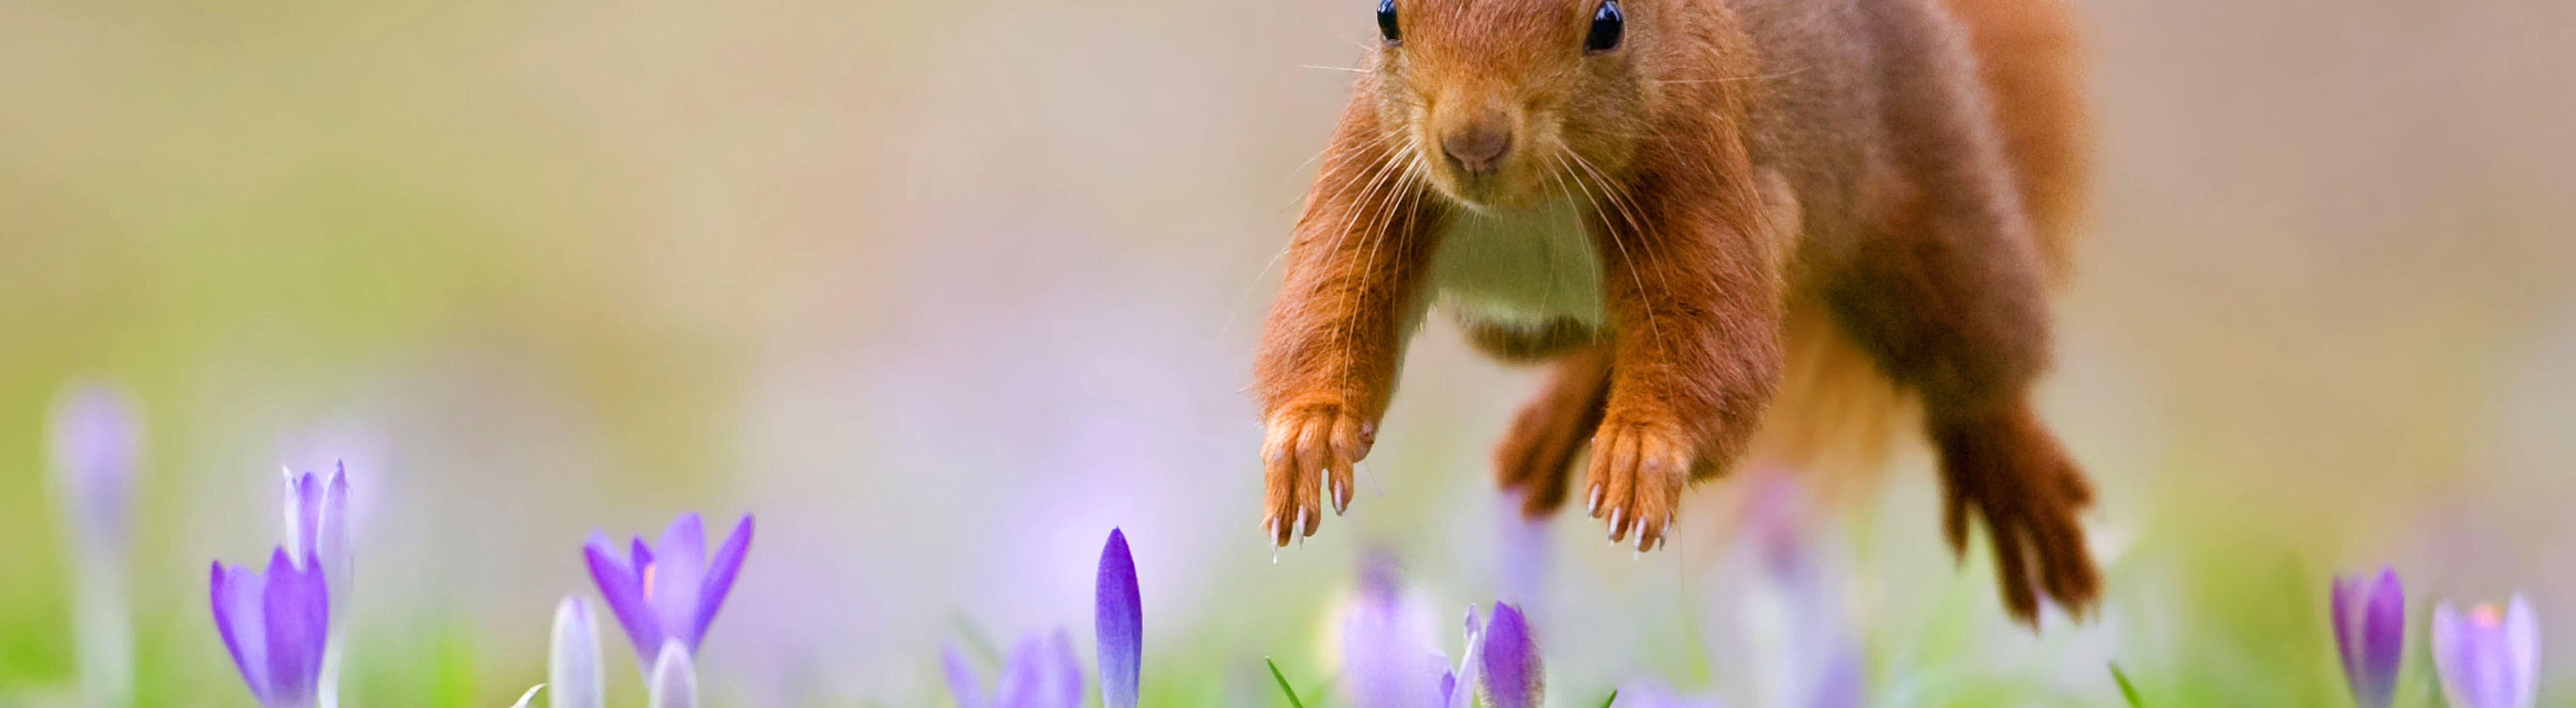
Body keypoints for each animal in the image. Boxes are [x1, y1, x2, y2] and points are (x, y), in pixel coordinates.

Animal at [1252, 0, 2099, 623]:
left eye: (1607, 22)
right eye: (1386, 14)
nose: (1472, 144)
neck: (1533, 206)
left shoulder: (1703, 176)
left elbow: (1715, 346)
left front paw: (1641, 450)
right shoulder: (1376, 173)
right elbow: (1330, 299)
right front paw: (1309, 434)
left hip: (1934, 203)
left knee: (1974, 349)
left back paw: (2018, 487)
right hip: (1510, 326)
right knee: (1599, 344)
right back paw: (1553, 428)